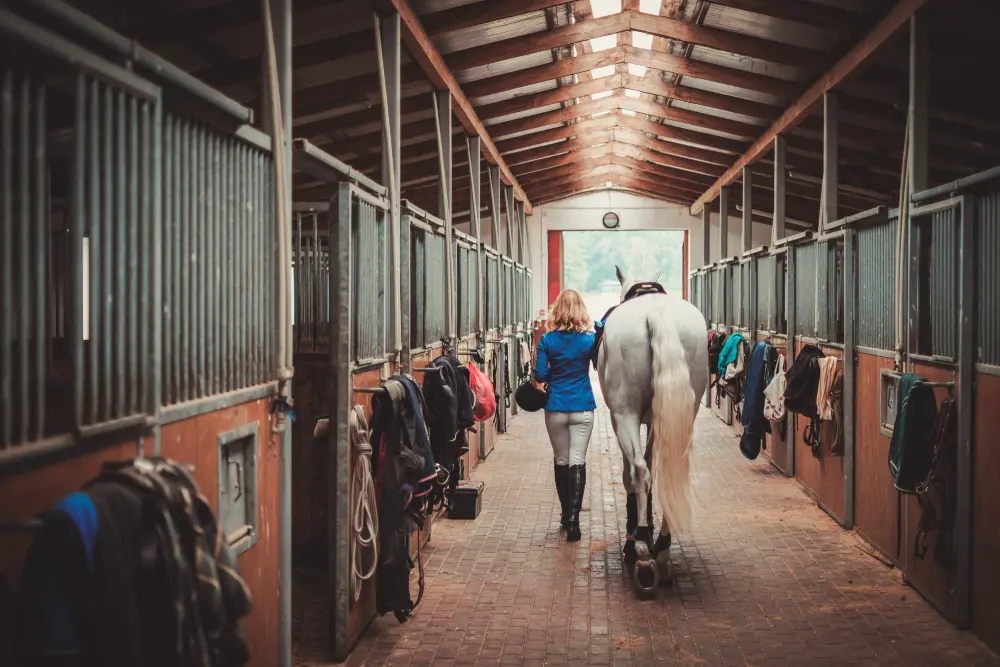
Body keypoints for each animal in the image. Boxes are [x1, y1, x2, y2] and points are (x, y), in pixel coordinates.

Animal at [596, 266, 709, 594]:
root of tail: (656, 313)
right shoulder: (658, 423)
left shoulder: (621, 419)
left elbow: (630, 475)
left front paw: (632, 537)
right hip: (682, 412)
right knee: (668, 470)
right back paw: (663, 548)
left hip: (626, 415)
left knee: (640, 470)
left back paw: (643, 546)